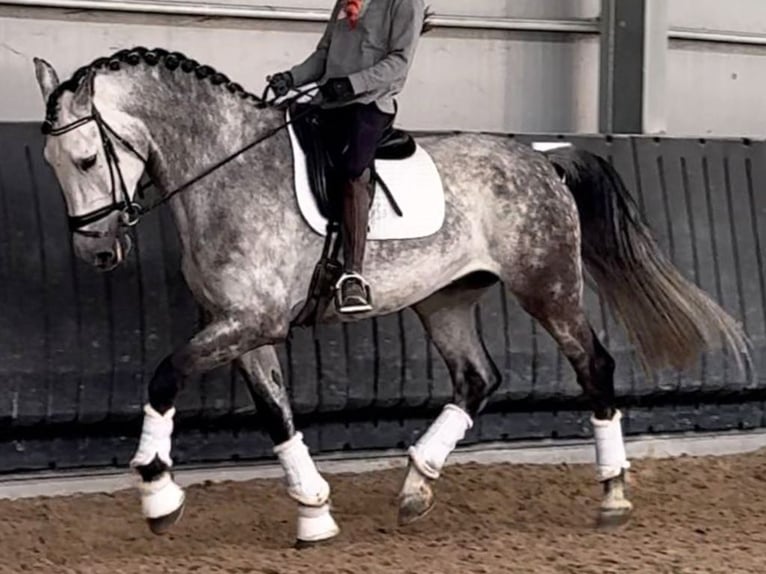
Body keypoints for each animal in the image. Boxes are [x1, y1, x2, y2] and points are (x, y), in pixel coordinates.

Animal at [31, 47, 752, 548]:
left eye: (88, 159)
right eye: (51, 165)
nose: (97, 253)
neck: (227, 171)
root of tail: (540, 159)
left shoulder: (251, 321)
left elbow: (163, 376)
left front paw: (158, 494)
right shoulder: (240, 327)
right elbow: (277, 416)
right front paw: (315, 515)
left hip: (547, 286)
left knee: (592, 365)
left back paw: (611, 495)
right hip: (446, 300)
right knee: (477, 379)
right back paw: (415, 487)